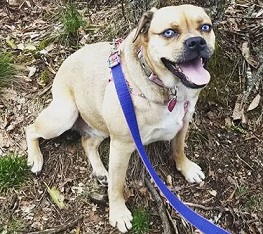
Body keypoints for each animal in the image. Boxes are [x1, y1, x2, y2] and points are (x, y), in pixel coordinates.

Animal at [24, 4, 216, 233]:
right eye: (169, 32)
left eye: (205, 27)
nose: (196, 42)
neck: (169, 91)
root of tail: (66, 60)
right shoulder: (122, 146)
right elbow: (117, 185)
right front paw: (118, 213)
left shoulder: (183, 123)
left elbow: (178, 148)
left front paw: (186, 168)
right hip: (65, 115)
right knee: (30, 129)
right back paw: (35, 158)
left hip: (99, 127)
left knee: (87, 141)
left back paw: (100, 171)